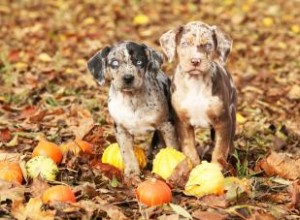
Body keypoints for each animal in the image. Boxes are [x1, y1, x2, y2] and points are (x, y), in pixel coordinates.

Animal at [88, 41, 179, 180]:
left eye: (139, 62)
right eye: (114, 63)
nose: (128, 78)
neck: (132, 100)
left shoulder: (166, 125)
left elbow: (172, 147)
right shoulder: (121, 129)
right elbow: (127, 152)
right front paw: (132, 172)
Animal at [159, 21, 237, 168]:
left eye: (208, 45)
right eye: (184, 43)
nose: (195, 61)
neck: (196, 84)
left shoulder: (223, 121)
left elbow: (220, 149)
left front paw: (216, 168)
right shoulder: (182, 122)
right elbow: (189, 149)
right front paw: (192, 167)